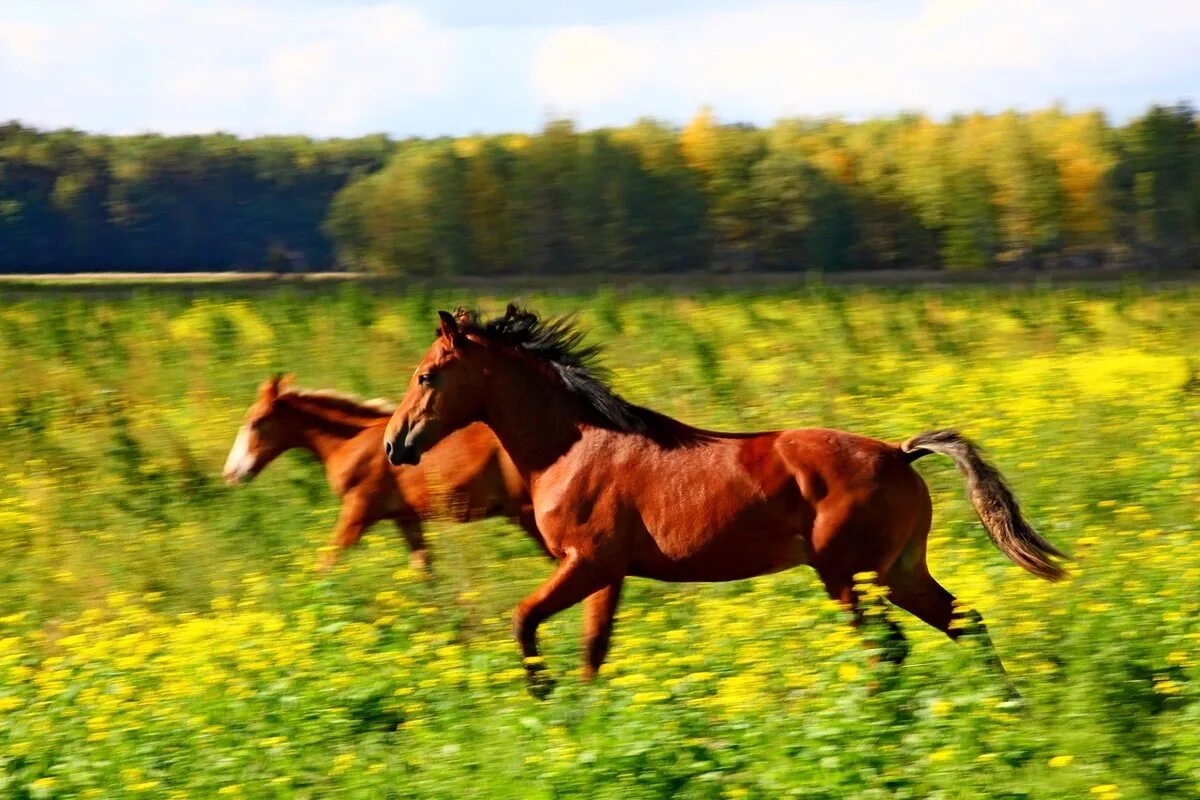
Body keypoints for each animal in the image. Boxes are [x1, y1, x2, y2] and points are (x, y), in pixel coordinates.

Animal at [222, 374, 540, 568]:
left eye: (256, 422)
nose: (231, 473)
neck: (351, 442)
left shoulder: (357, 512)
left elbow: (326, 564)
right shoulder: (406, 519)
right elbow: (425, 570)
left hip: (526, 513)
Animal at [379, 307, 1065, 695]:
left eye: (425, 375)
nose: (394, 444)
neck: (573, 447)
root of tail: (899, 453)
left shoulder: (587, 563)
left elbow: (524, 618)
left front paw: (542, 697)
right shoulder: (606, 573)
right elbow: (594, 650)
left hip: (850, 576)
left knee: (889, 647)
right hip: (898, 571)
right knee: (963, 621)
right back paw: (1009, 708)